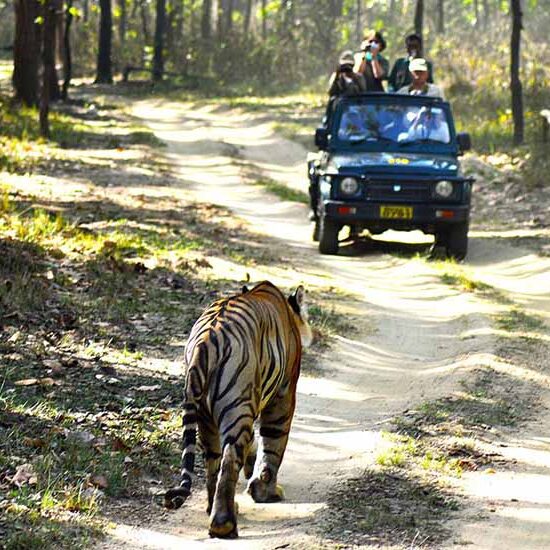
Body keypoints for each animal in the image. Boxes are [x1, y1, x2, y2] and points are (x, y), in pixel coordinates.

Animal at [164, 282, 312, 540]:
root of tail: (204, 343)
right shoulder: (283, 394)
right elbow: (273, 444)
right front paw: (265, 490)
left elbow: (255, 441)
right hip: (237, 406)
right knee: (229, 459)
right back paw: (224, 524)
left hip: (208, 415)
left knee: (213, 461)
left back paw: (217, 509)